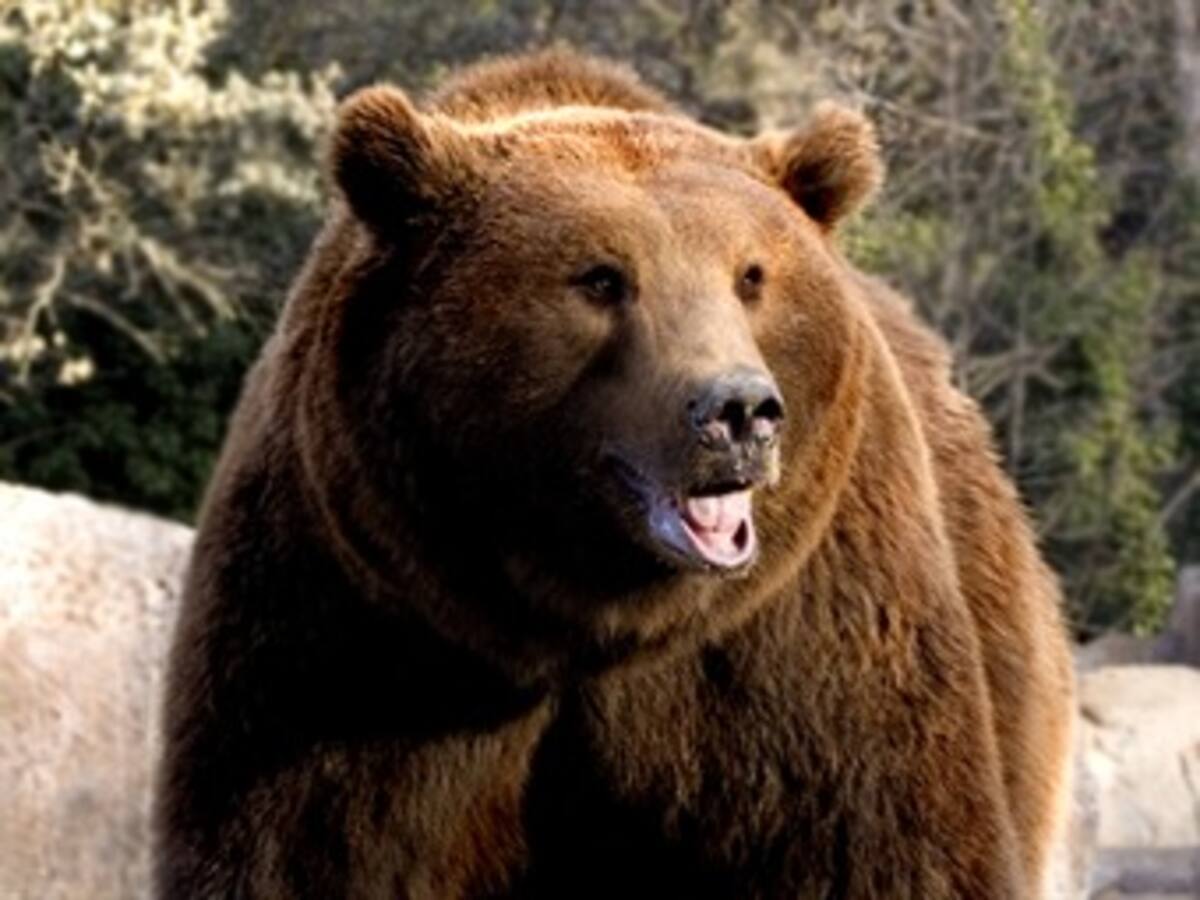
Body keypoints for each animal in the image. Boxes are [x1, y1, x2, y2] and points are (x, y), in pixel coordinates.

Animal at [154, 49, 1075, 899]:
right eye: (600, 278)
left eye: (752, 275)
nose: (739, 410)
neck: (587, 615)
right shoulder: (352, 628)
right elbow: (305, 843)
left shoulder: (801, 641)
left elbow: (876, 842)